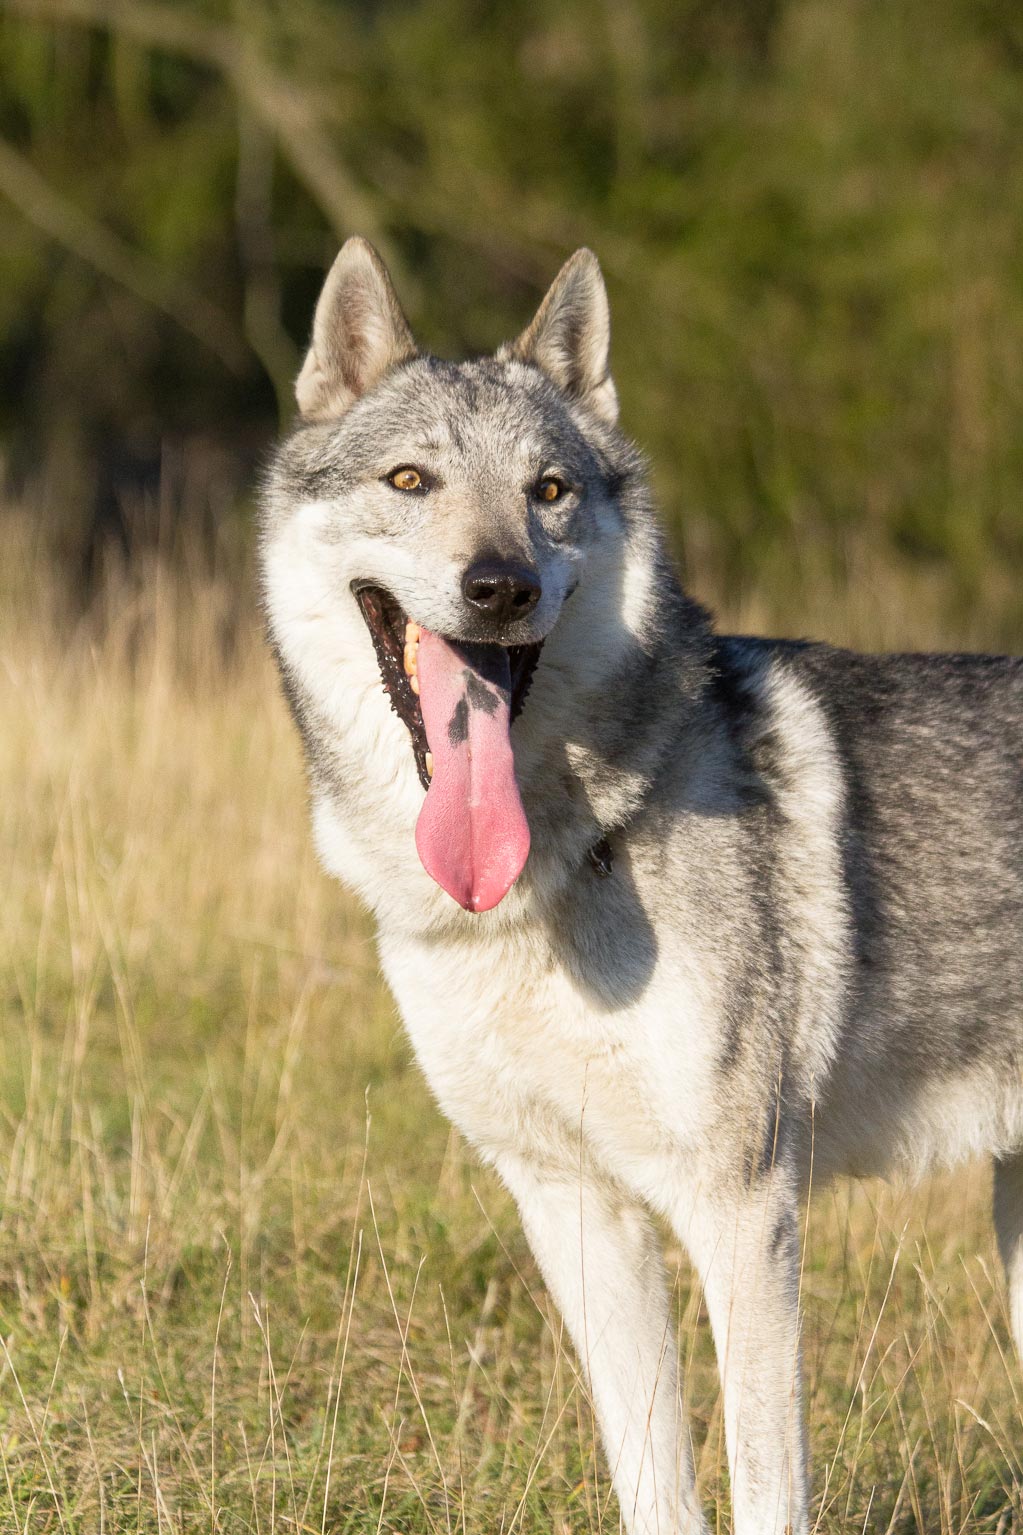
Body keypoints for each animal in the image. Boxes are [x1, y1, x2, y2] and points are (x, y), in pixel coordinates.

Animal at [258, 237, 1023, 1534]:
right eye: (411, 479)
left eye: (549, 490)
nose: (501, 585)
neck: (556, 871)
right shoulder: (572, 1204)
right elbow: (653, 1480)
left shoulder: (745, 1206)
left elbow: (765, 1487)